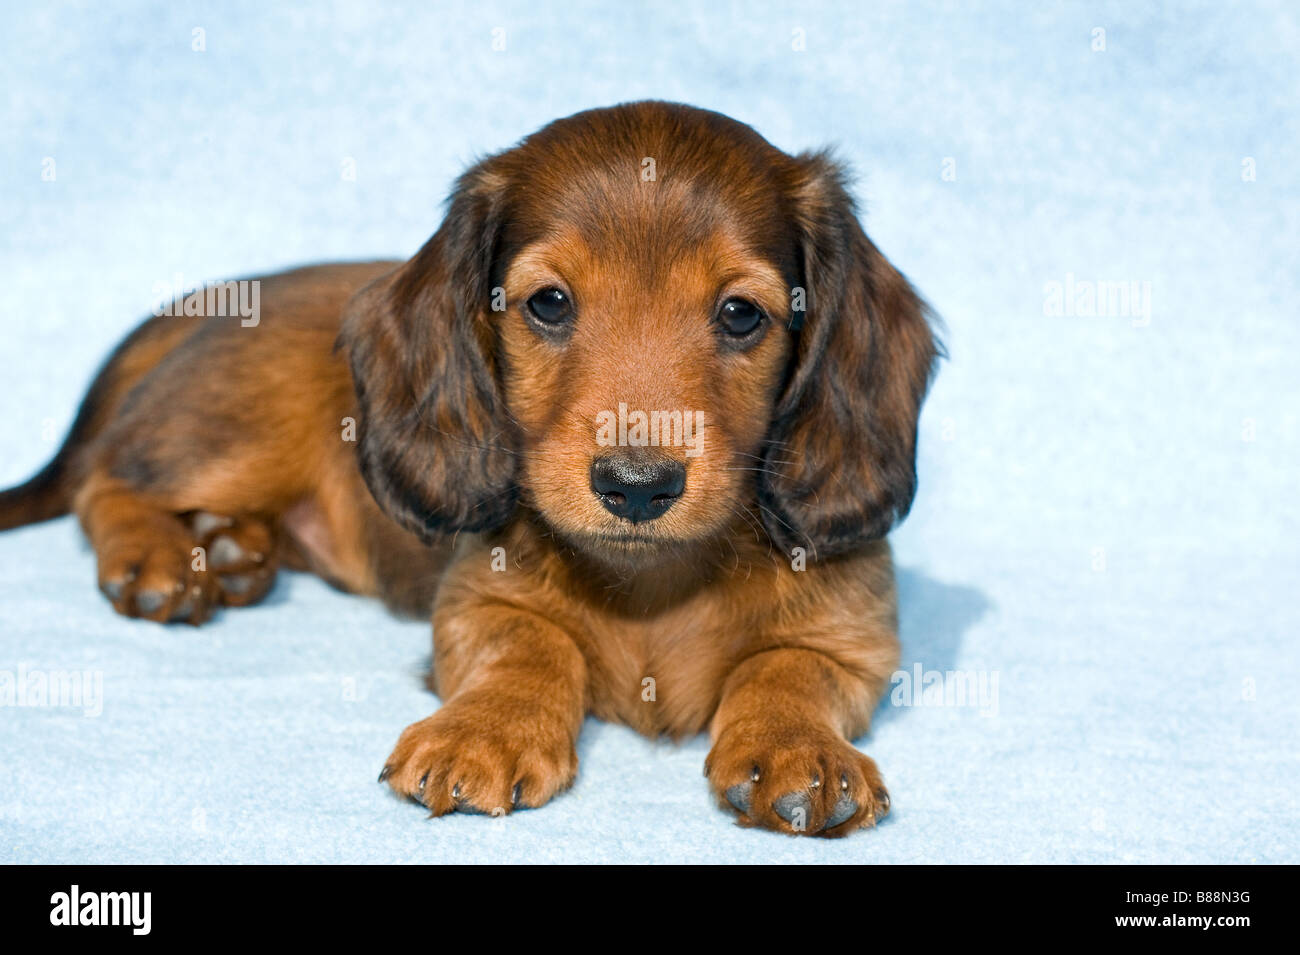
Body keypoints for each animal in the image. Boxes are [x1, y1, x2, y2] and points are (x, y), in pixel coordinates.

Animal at [0, 102, 935, 836]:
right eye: (549, 302)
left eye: (741, 314)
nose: (636, 488)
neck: (652, 582)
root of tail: (216, 300)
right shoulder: (474, 599)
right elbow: (530, 641)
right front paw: (485, 728)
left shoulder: (854, 641)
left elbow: (785, 664)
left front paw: (798, 747)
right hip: (232, 436)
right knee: (103, 480)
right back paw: (161, 560)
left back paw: (230, 550)